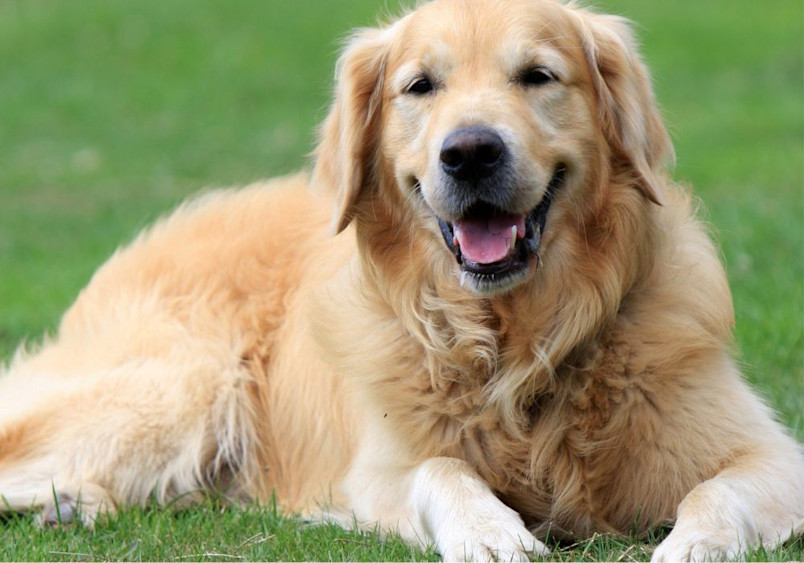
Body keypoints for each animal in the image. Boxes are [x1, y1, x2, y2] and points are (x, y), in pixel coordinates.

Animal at [1, 0, 804, 560]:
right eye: (420, 86)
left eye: (538, 76)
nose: (471, 151)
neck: (517, 342)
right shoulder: (378, 470)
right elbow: (441, 471)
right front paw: (490, 531)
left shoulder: (773, 456)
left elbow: (716, 493)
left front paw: (695, 542)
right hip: (184, 389)